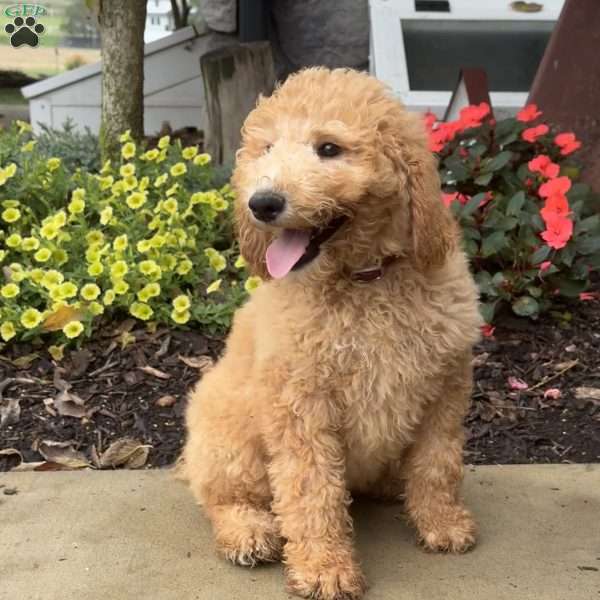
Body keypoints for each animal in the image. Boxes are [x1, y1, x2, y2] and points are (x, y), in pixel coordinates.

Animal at [183, 67, 482, 600]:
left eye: (328, 148)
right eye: (266, 149)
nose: (262, 203)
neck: (364, 282)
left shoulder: (444, 390)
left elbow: (438, 462)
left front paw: (441, 522)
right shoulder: (300, 407)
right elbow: (311, 491)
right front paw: (325, 567)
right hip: (229, 430)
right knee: (223, 497)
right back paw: (248, 532)